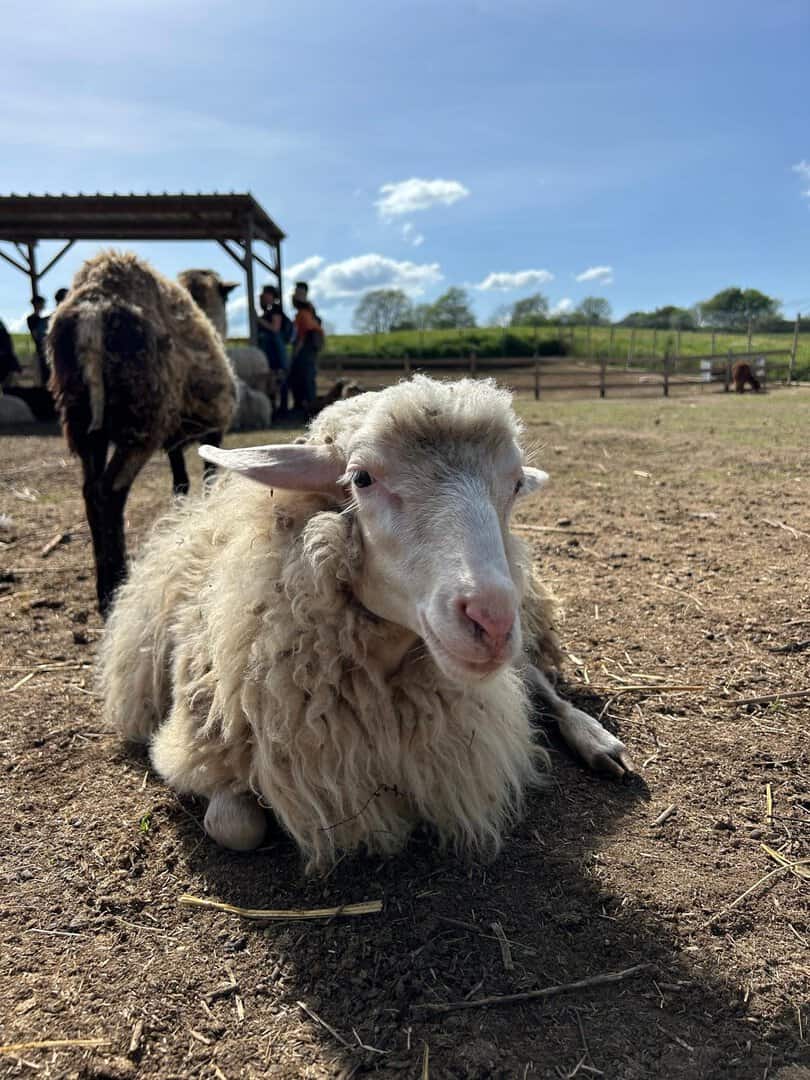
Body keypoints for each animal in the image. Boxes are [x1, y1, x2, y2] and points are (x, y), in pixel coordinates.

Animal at [47, 251, 237, 615]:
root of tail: (93, 309)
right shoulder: (212, 431)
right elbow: (208, 483)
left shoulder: (174, 441)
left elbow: (181, 485)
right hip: (142, 416)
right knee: (109, 491)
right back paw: (114, 585)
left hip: (80, 420)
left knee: (90, 491)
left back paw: (104, 581)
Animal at [101, 376, 633, 872]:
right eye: (361, 478)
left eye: (516, 484)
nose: (493, 619)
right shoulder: (196, 742)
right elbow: (235, 826)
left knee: (537, 681)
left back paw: (597, 740)